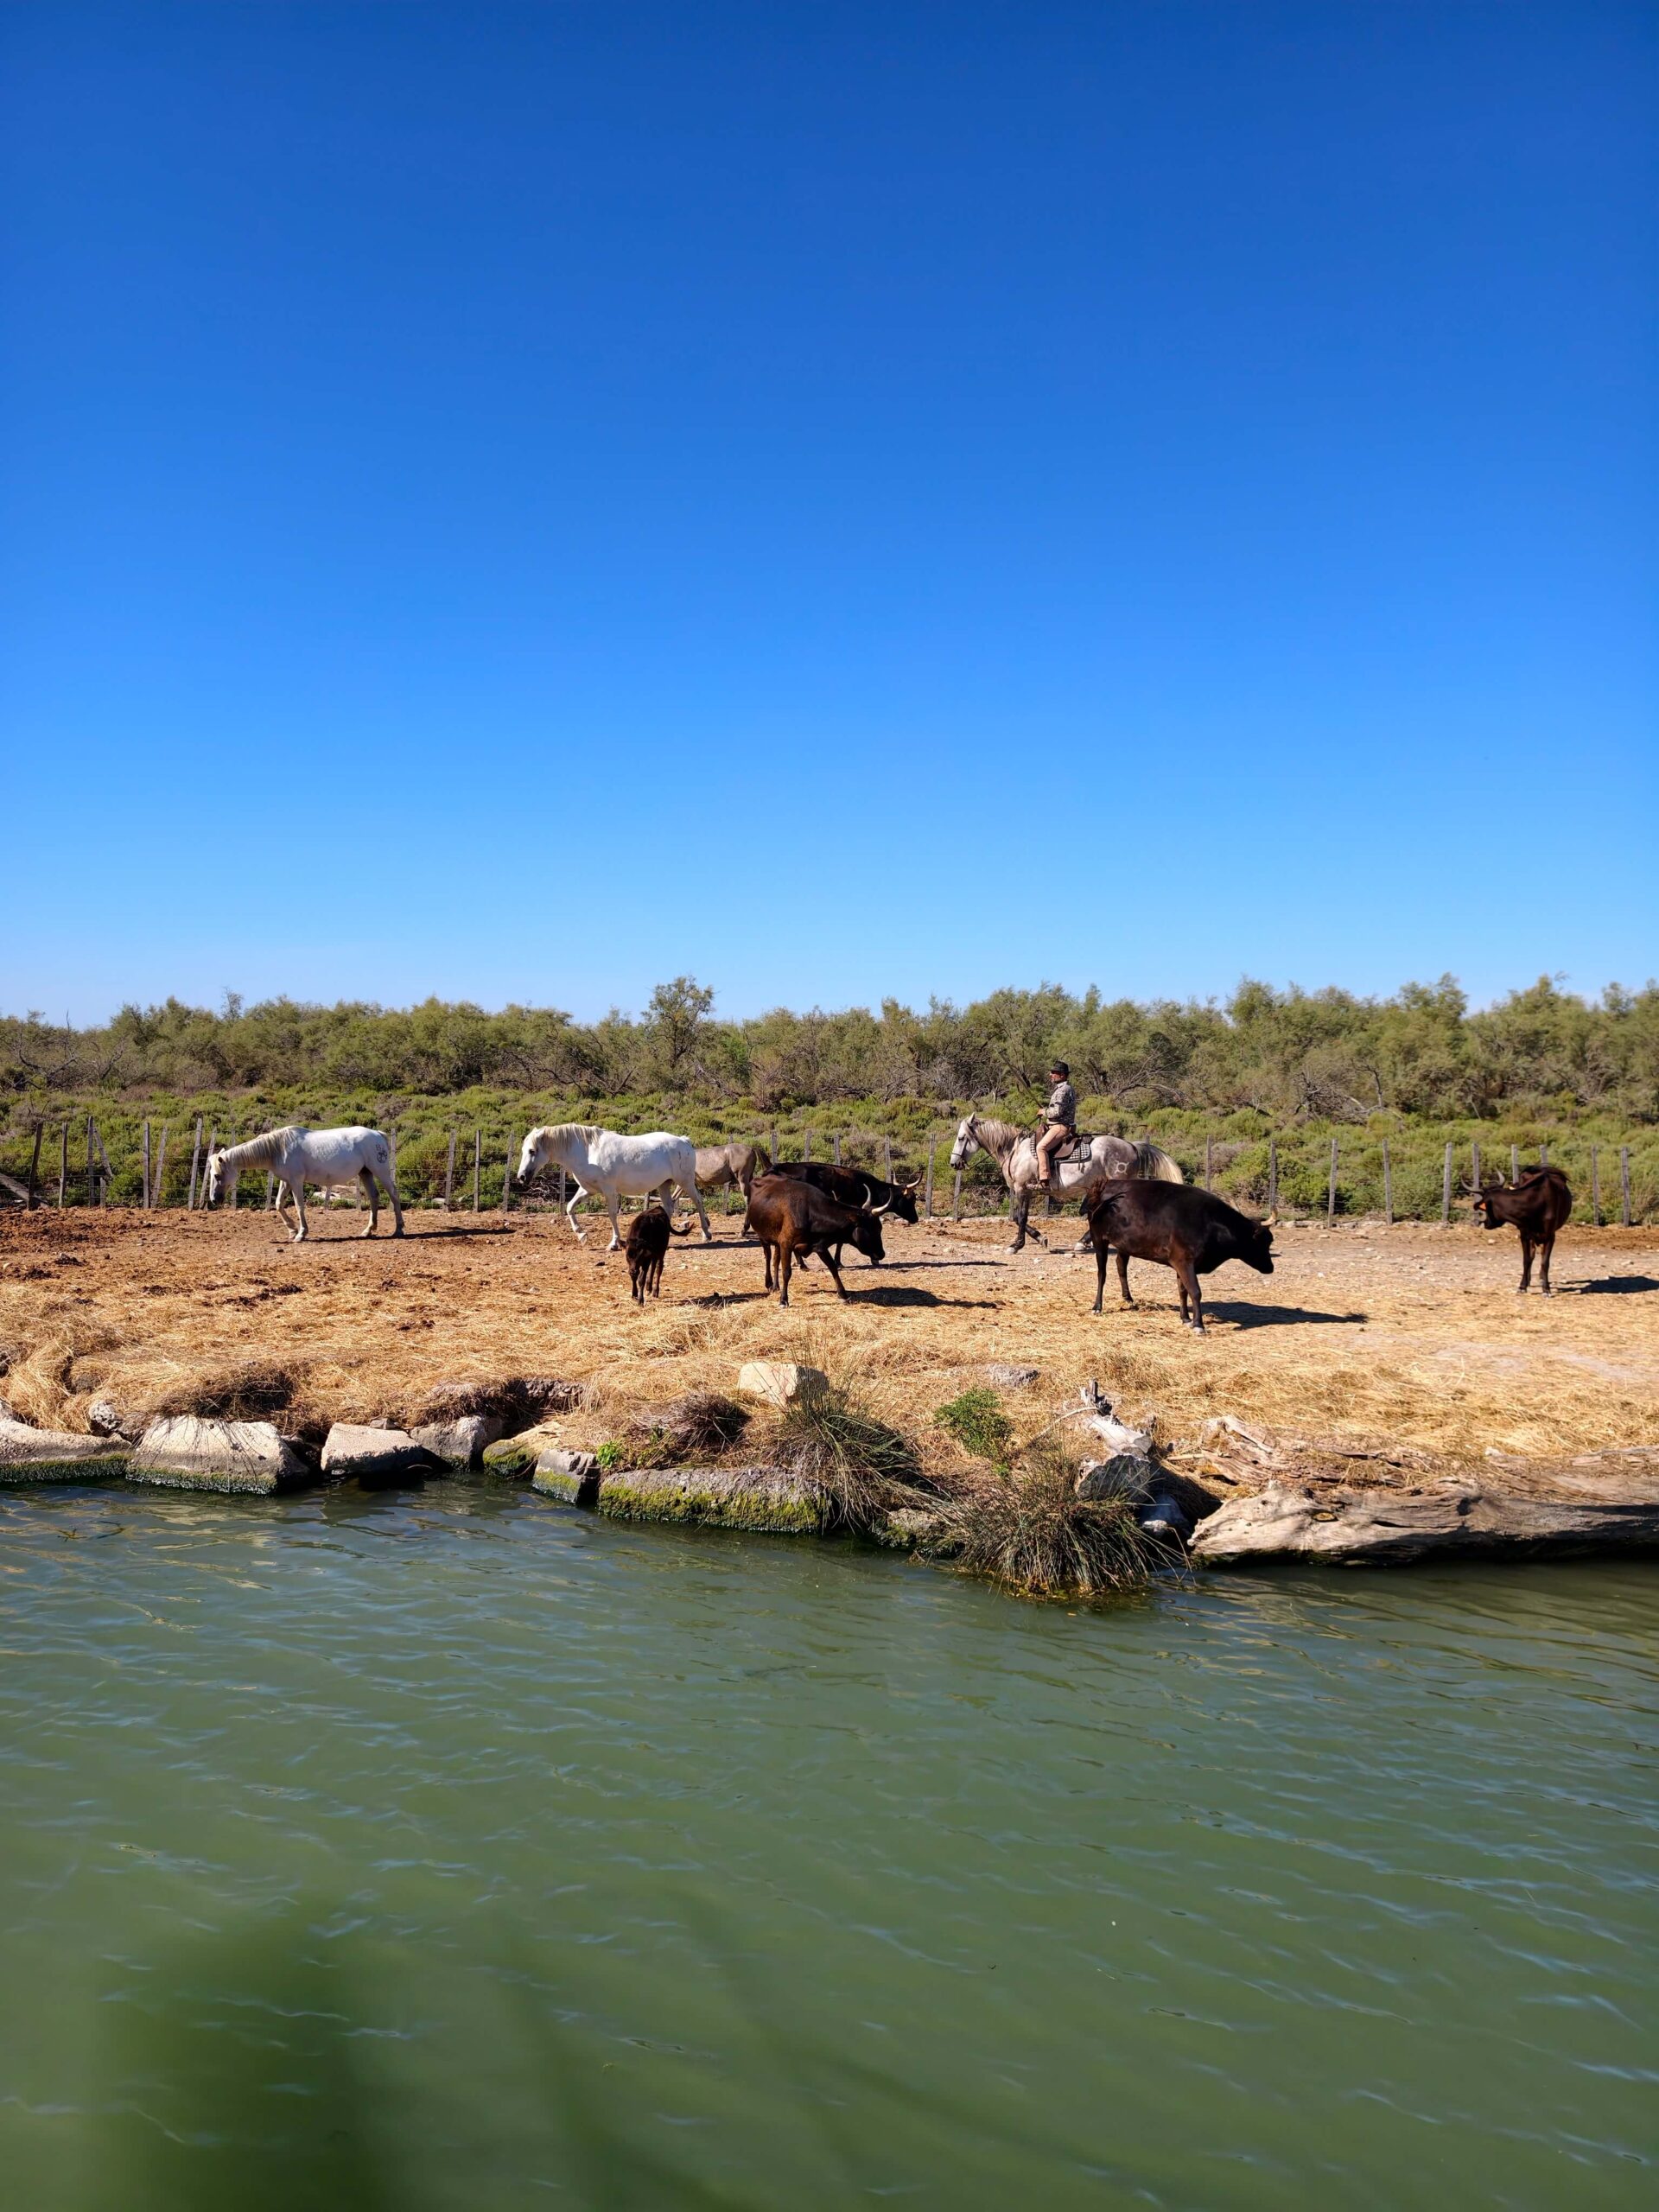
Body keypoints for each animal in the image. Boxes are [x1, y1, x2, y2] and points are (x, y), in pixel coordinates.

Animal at [204, 1126, 404, 1242]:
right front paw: (292, 1230)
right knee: (374, 1197)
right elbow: (279, 1204)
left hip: (380, 1171)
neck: (279, 1149)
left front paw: (301, 1233)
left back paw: (399, 1229)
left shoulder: (296, 1181)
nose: (214, 1200)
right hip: (366, 1173)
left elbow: (299, 1206)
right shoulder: (286, 1181)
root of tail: (377, 1134)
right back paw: (367, 1231)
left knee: (394, 1195)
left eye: (217, 1175)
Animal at [515, 1124, 712, 1249]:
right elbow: (570, 1208)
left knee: (698, 1202)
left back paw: (706, 1234)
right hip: (664, 1184)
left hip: (685, 1181)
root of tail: (684, 1141)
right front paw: (582, 1236)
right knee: (669, 1207)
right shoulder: (588, 1190)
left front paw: (614, 1243)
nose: (521, 1177)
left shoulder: (609, 1191)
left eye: (532, 1151)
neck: (588, 1152)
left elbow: (611, 1214)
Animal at [948, 1114, 1183, 1253]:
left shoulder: (1022, 1189)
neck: (1015, 1150)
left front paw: (1016, 1245)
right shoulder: (1023, 1191)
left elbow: (1020, 1217)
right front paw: (1041, 1238)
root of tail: (1132, 1146)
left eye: (961, 1138)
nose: (953, 1163)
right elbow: (1016, 1217)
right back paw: (1084, 1242)